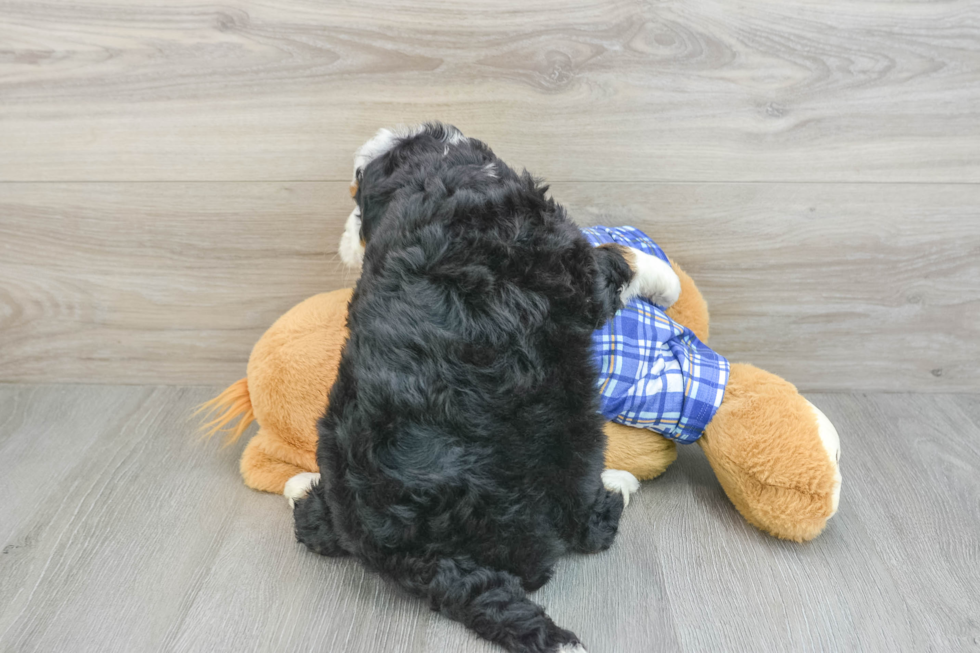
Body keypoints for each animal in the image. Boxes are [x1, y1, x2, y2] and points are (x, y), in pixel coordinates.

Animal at [288, 123, 676, 652]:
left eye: (356, 198)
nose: (345, 241)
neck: (444, 171)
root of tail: (414, 555)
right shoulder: (577, 272)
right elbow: (617, 259)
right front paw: (666, 280)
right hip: (571, 440)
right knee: (582, 532)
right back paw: (617, 485)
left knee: (314, 525)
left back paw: (302, 491)